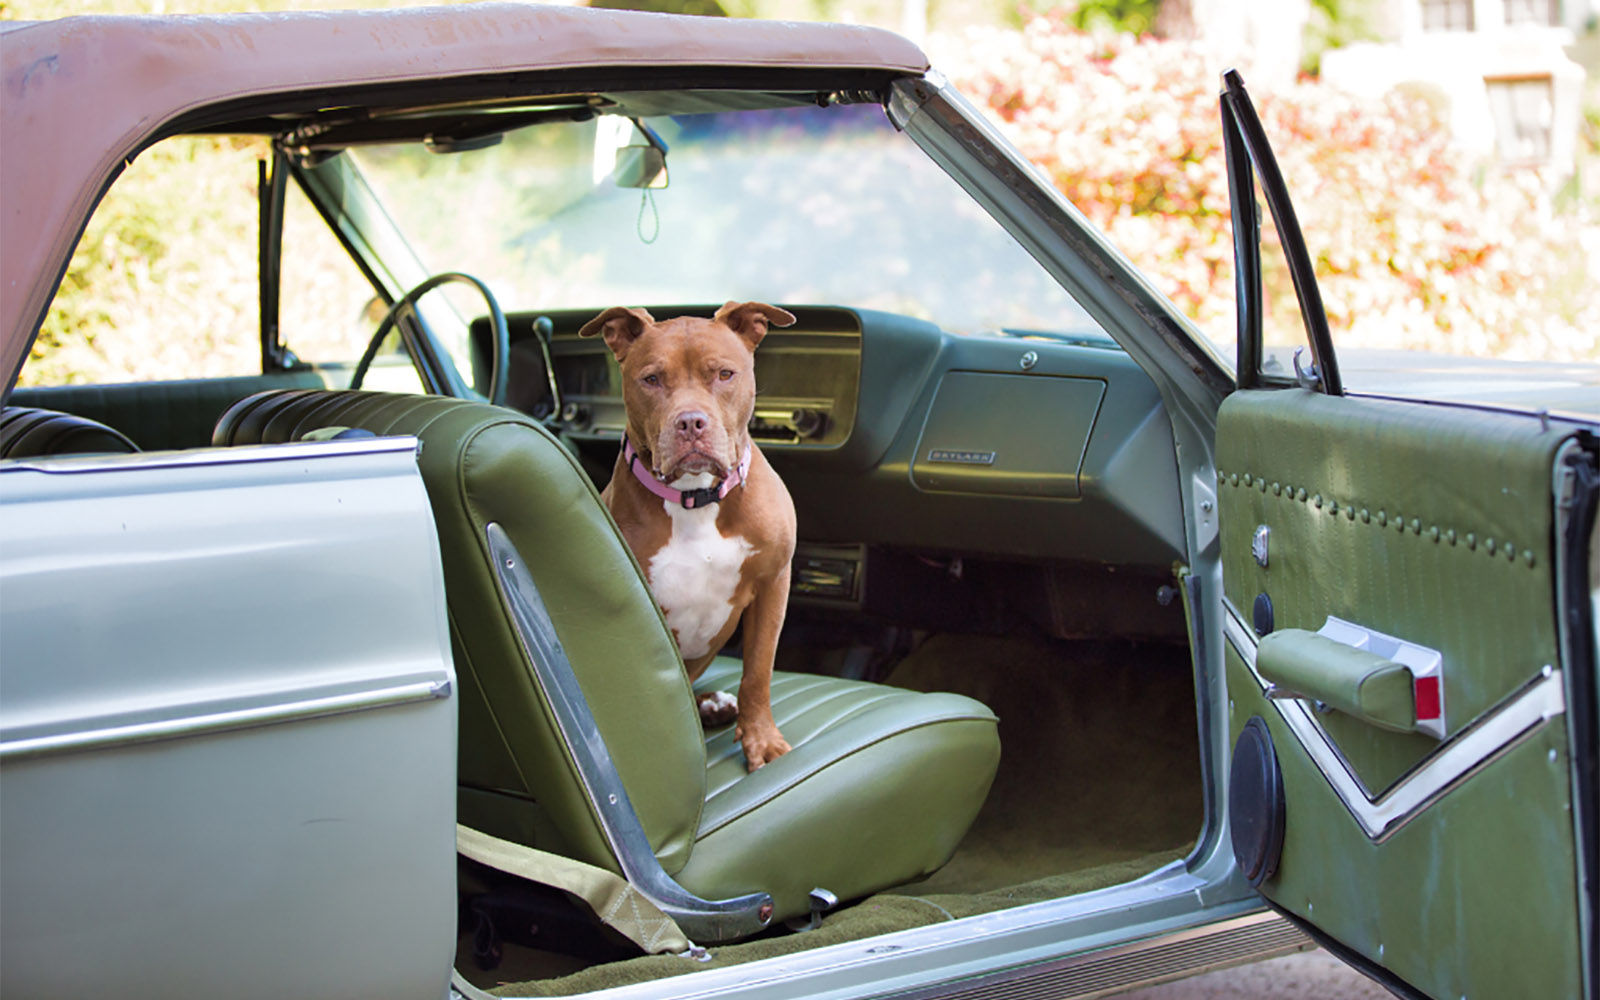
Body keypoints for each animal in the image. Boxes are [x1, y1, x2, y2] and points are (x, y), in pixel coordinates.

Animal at [579, 300, 796, 768]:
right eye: (651, 379)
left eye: (725, 374)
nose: (691, 422)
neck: (696, 497)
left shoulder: (774, 581)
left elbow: (758, 670)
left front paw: (761, 740)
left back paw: (714, 705)